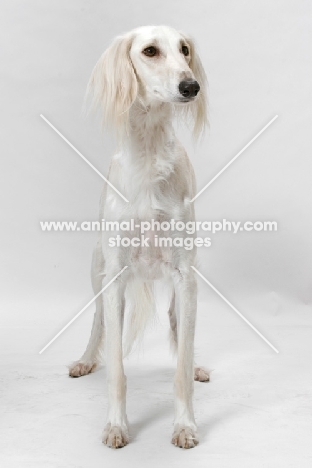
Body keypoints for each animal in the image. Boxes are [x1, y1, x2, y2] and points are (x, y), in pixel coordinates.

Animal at [68, 25, 210, 450]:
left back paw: (195, 365)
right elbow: (116, 367)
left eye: (184, 50)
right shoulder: (115, 281)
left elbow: (180, 366)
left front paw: (184, 426)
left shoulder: (184, 277)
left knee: (181, 334)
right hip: (98, 276)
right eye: (150, 51)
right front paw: (116, 426)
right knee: (97, 323)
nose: (191, 86)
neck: (149, 152)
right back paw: (86, 359)